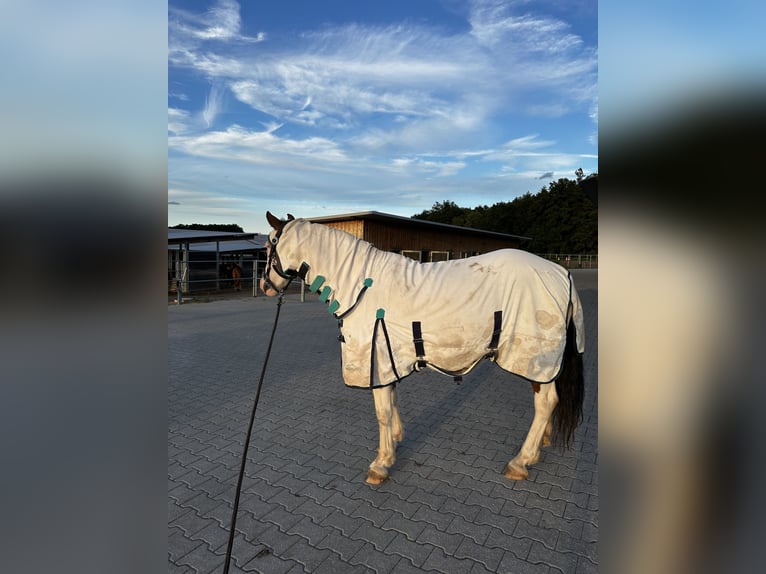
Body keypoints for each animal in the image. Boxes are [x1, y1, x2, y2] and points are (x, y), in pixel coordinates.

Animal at [260, 212, 585, 485]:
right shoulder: (387, 358)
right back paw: (538, 448)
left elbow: (382, 412)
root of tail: (563, 275)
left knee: (546, 403)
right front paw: (394, 442)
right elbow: (391, 402)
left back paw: (521, 461)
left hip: (534, 358)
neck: (361, 286)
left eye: (267, 247)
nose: (265, 287)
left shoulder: (375, 359)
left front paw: (381, 463)